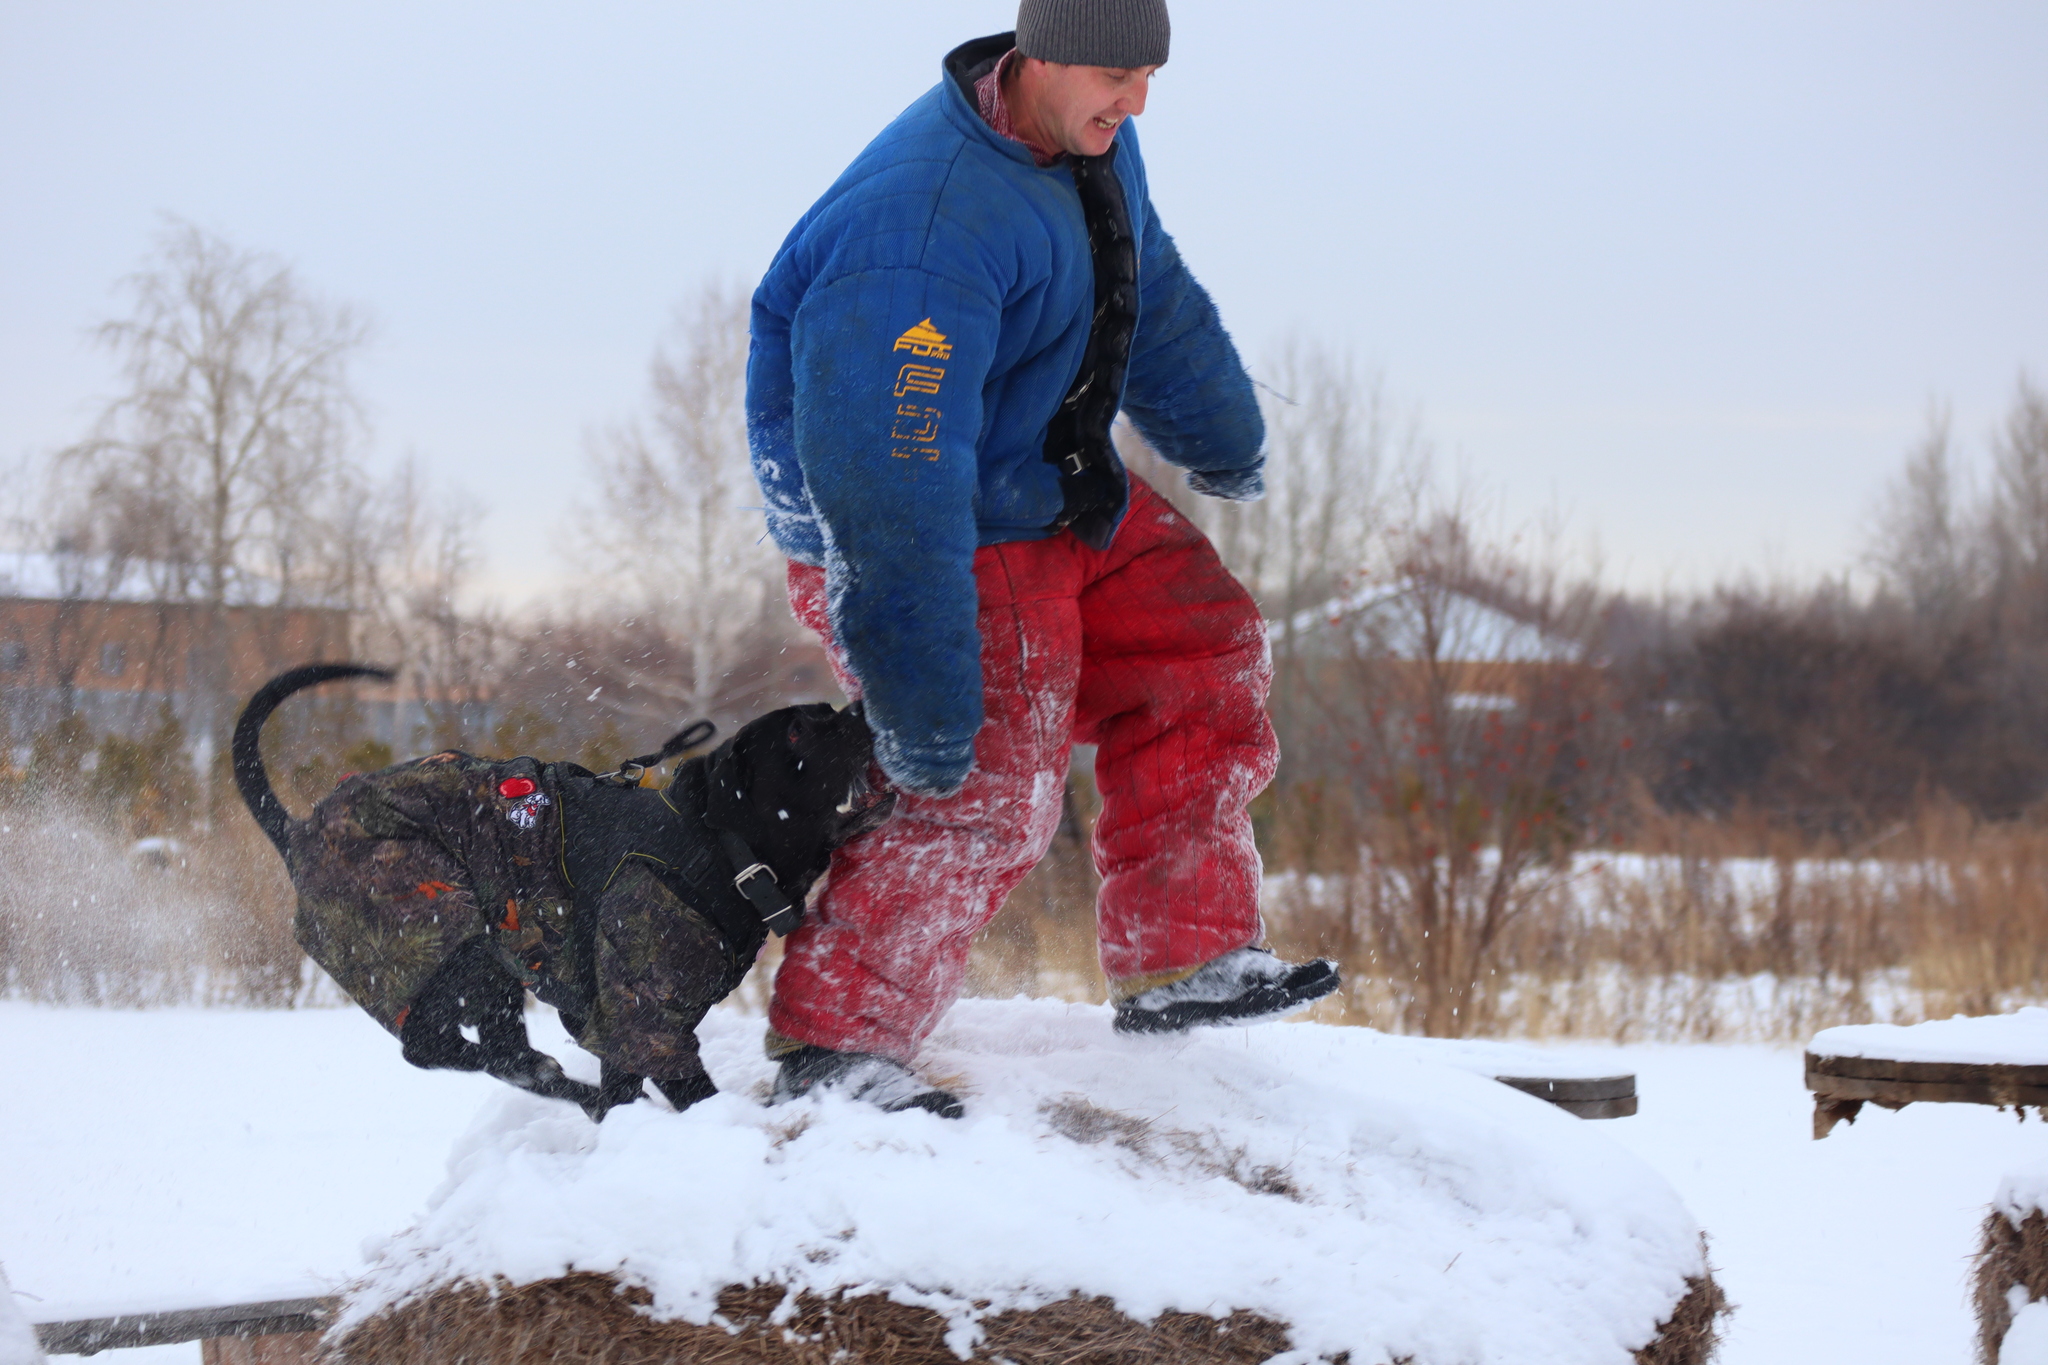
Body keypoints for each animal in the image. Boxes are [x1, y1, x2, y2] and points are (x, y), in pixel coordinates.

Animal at [232, 663, 888, 1121]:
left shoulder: (614, 1023)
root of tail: (296, 831)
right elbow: (687, 1086)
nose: (866, 707)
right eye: (799, 732)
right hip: (446, 939)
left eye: (825, 712)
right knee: (432, 1046)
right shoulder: (641, 1016)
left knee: (492, 1048)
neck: (717, 845)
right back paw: (556, 1081)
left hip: (486, 965)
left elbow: (623, 1080)